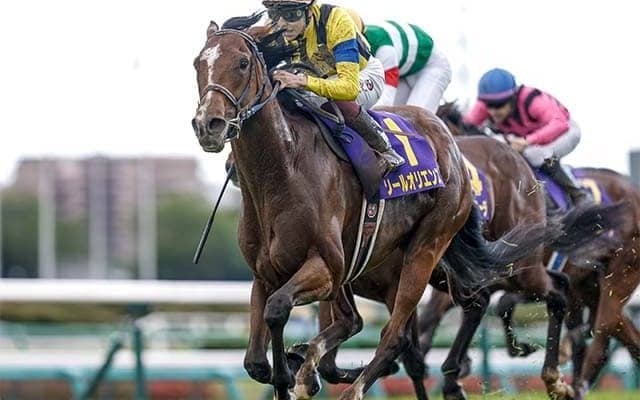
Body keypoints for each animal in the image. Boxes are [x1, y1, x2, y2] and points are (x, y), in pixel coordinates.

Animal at [191, 19, 570, 400]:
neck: (283, 172)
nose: (209, 124)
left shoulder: (327, 268)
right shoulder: (267, 274)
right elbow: (258, 360)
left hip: (441, 252)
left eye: (242, 63)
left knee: (400, 336)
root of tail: (452, 147)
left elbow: (280, 311)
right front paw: (297, 368)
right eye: (197, 64)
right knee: (475, 303)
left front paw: (299, 370)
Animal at [432, 102, 640, 400]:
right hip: (592, 285)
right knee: (623, 332)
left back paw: (573, 383)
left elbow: (500, 304)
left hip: (620, 273)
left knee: (604, 328)